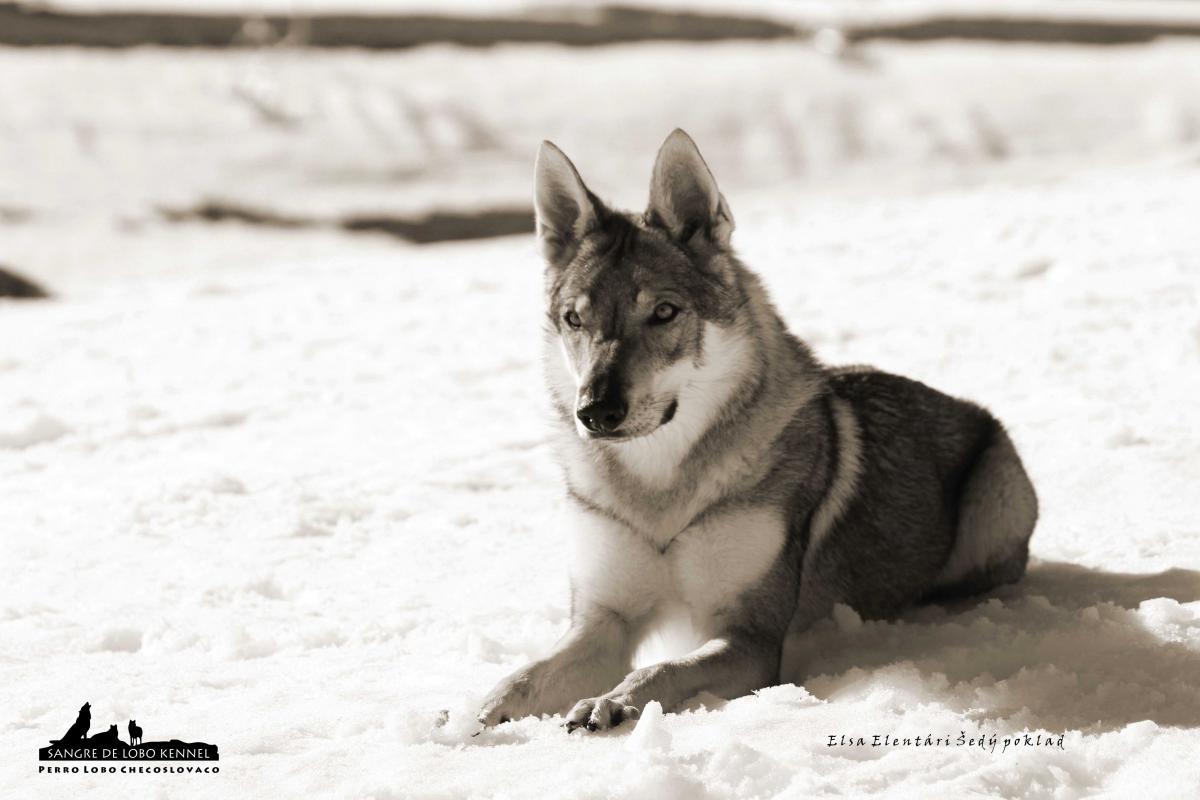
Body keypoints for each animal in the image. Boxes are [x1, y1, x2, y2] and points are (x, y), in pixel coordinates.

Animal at [478, 129, 1037, 733]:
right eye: (574, 320)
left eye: (664, 313)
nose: (596, 411)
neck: (659, 490)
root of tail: (971, 407)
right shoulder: (602, 620)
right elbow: (524, 676)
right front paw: (469, 717)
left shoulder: (751, 637)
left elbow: (659, 670)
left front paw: (611, 703)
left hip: (993, 508)